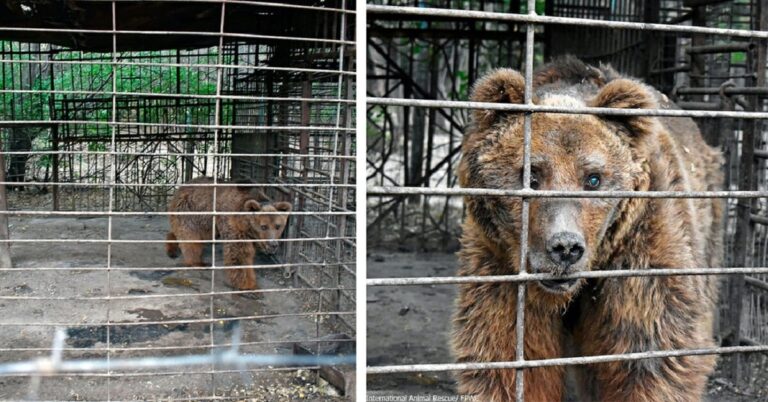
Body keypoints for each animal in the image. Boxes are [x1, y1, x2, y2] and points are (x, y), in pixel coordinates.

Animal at [164, 177, 292, 290]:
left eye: (278, 226)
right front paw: (249, 286)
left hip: (206, 223)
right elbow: (239, 253)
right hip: (190, 211)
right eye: (264, 226)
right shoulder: (233, 222)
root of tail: (180, 188)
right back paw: (197, 262)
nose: (273, 244)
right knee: (190, 238)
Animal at [450, 56, 728, 402]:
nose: (566, 247)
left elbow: (652, 352)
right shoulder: (500, 261)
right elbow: (507, 351)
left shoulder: (642, 247)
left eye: (593, 178)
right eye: (531, 176)